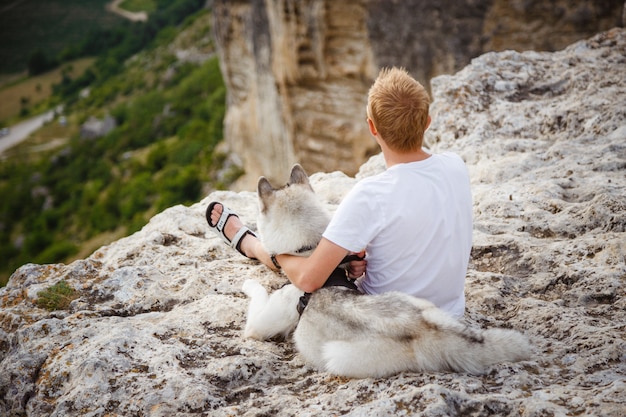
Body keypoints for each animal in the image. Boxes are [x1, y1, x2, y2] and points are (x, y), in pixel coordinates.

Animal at [241, 164, 528, 378]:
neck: (309, 251)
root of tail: (427, 330)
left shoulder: (257, 326)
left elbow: (257, 298)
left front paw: (250, 284)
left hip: (337, 356)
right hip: (418, 302)